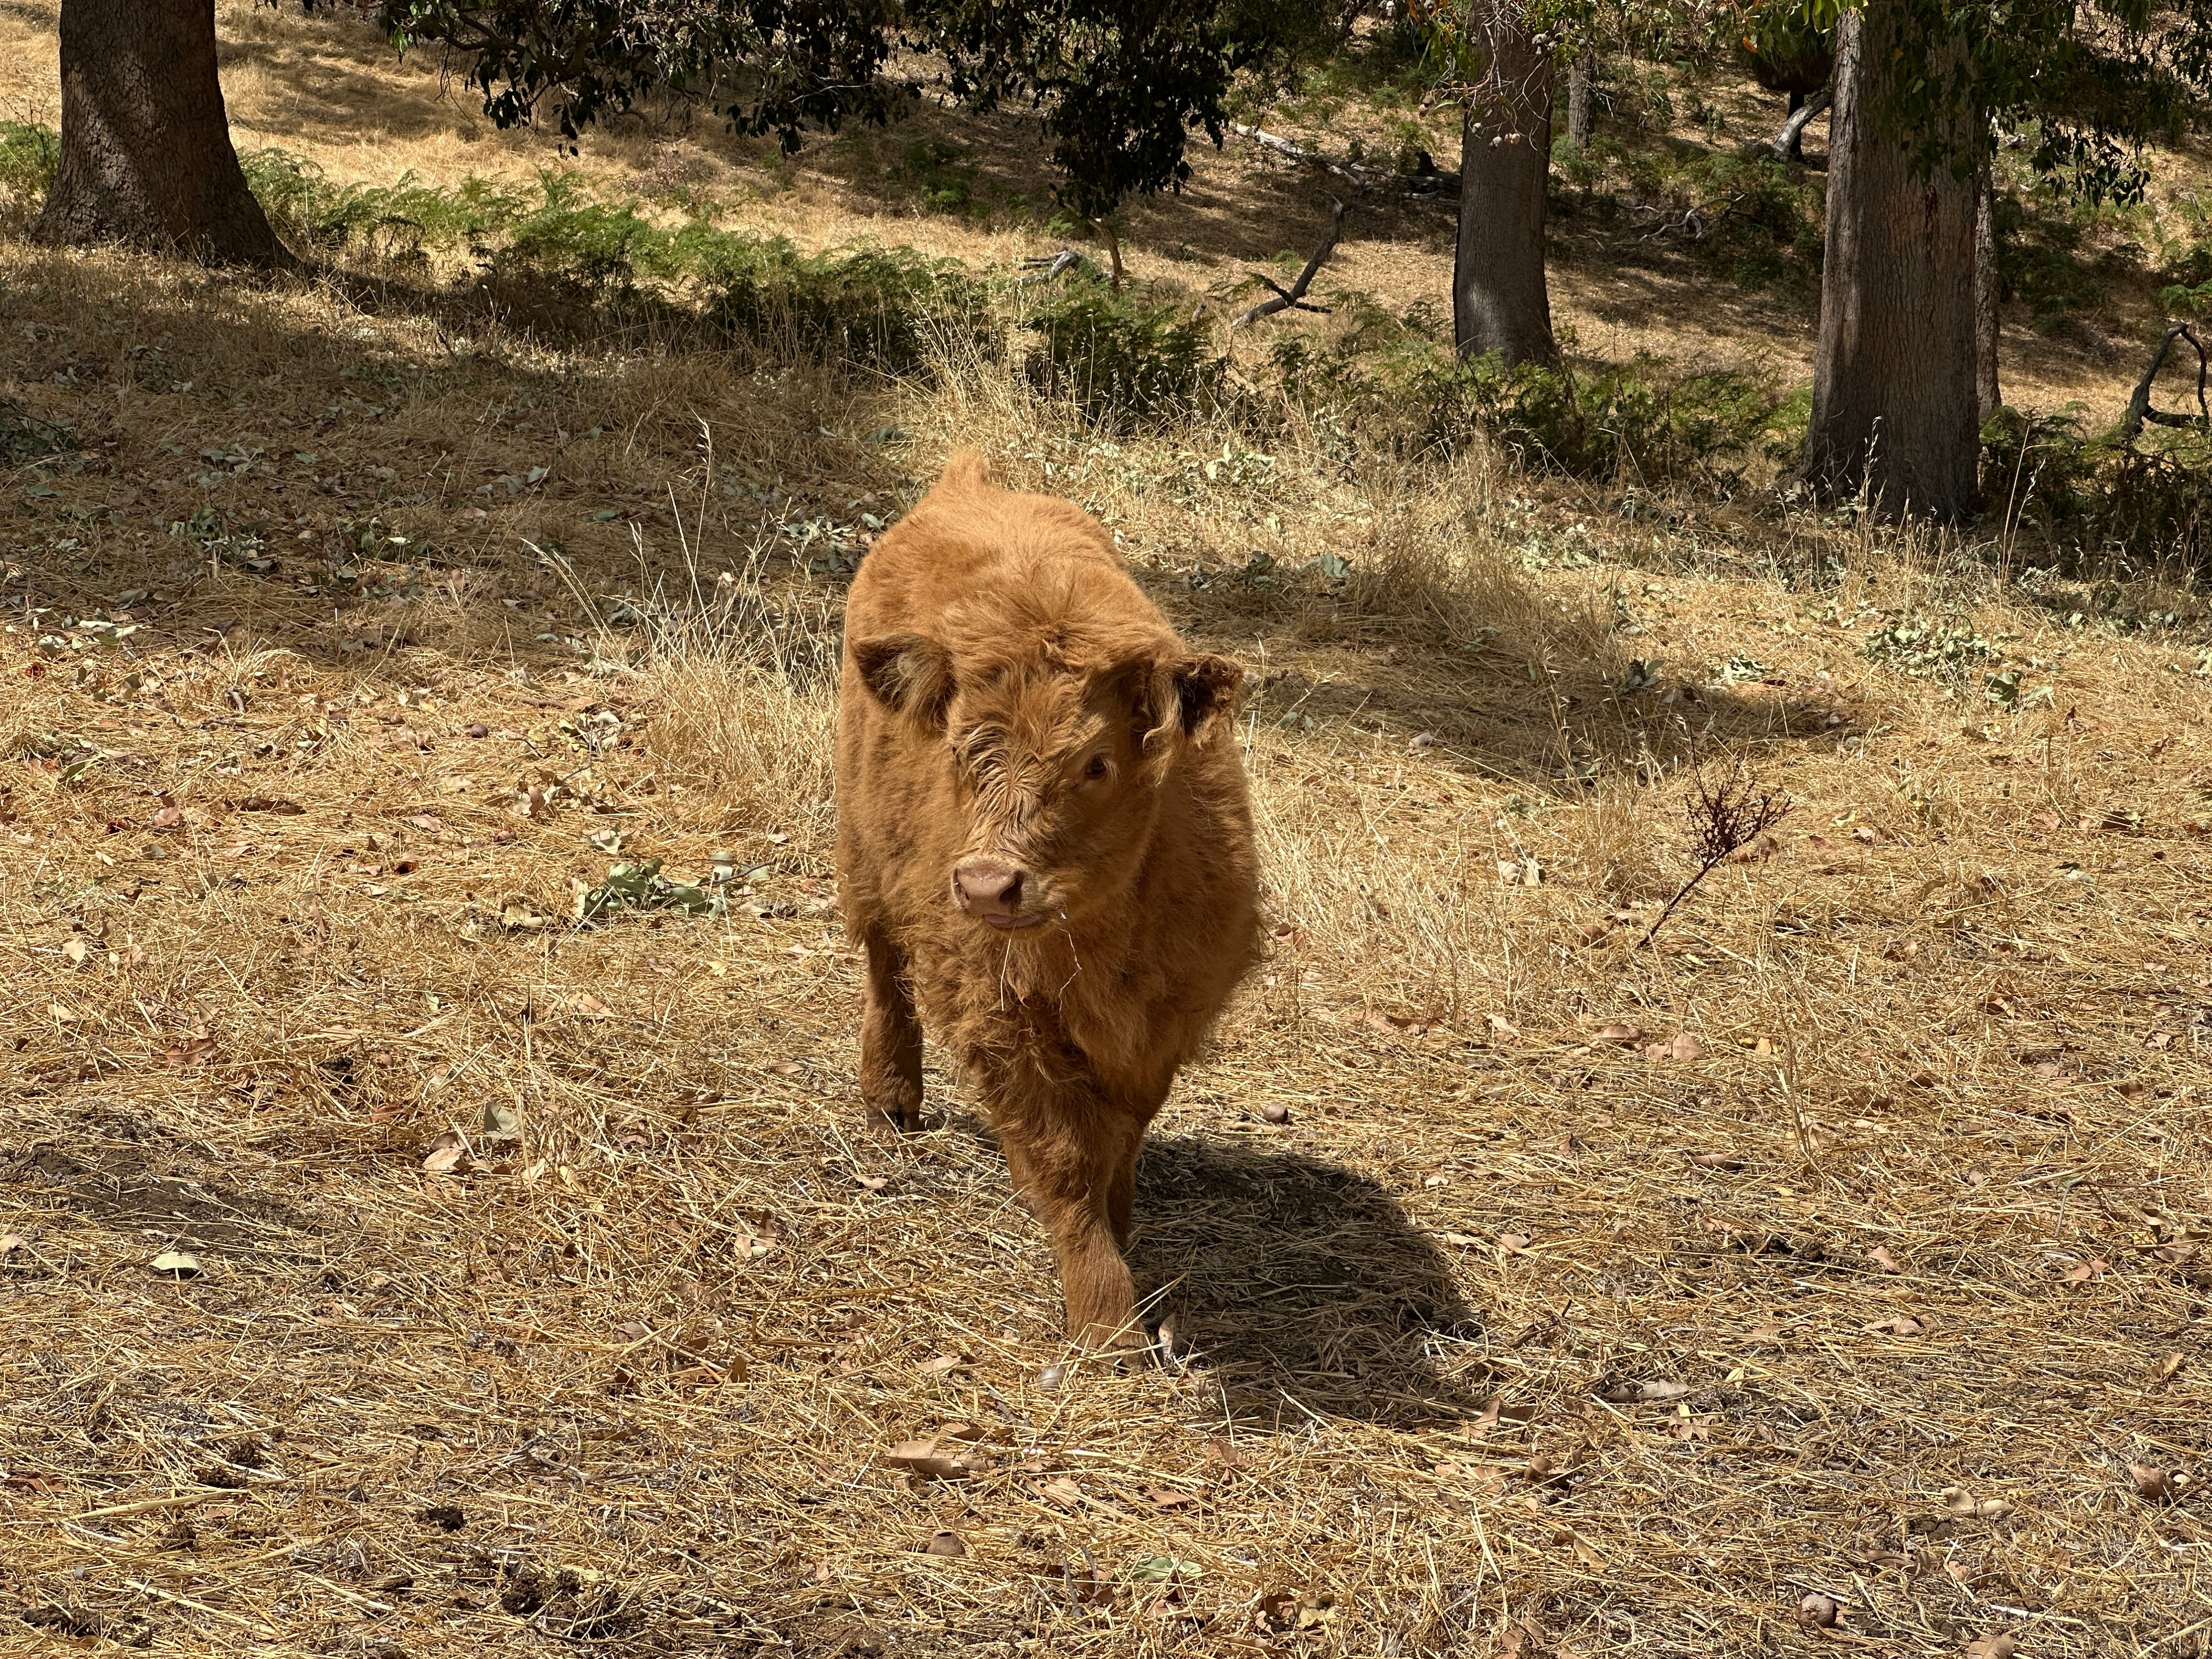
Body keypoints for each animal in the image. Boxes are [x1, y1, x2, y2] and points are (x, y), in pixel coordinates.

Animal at [834, 451, 1260, 1350]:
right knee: (885, 967)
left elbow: (1122, 1138)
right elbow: (1063, 1159)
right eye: (963, 750)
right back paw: (891, 1100)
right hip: (863, 846)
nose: (987, 883)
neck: (1102, 944)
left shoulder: (1165, 1024)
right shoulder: (1000, 1016)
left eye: (1097, 763)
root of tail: (965, 484)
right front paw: (1105, 1316)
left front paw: (1125, 1226)